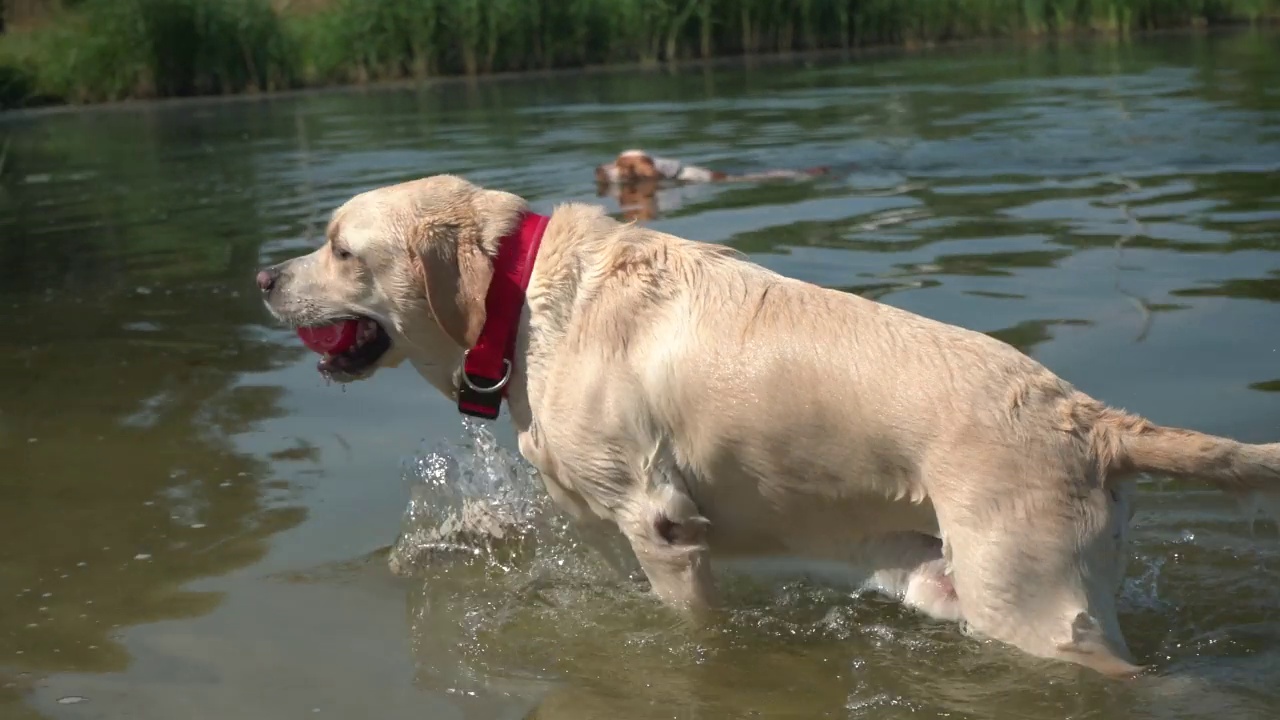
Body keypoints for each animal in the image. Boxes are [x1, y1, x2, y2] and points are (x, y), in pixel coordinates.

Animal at [259, 172, 1280, 671]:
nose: (264, 276)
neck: (526, 303)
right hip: (956, 583)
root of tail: (1091, 417)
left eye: (340, 249)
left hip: (1028, 604)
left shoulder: (660, 525)